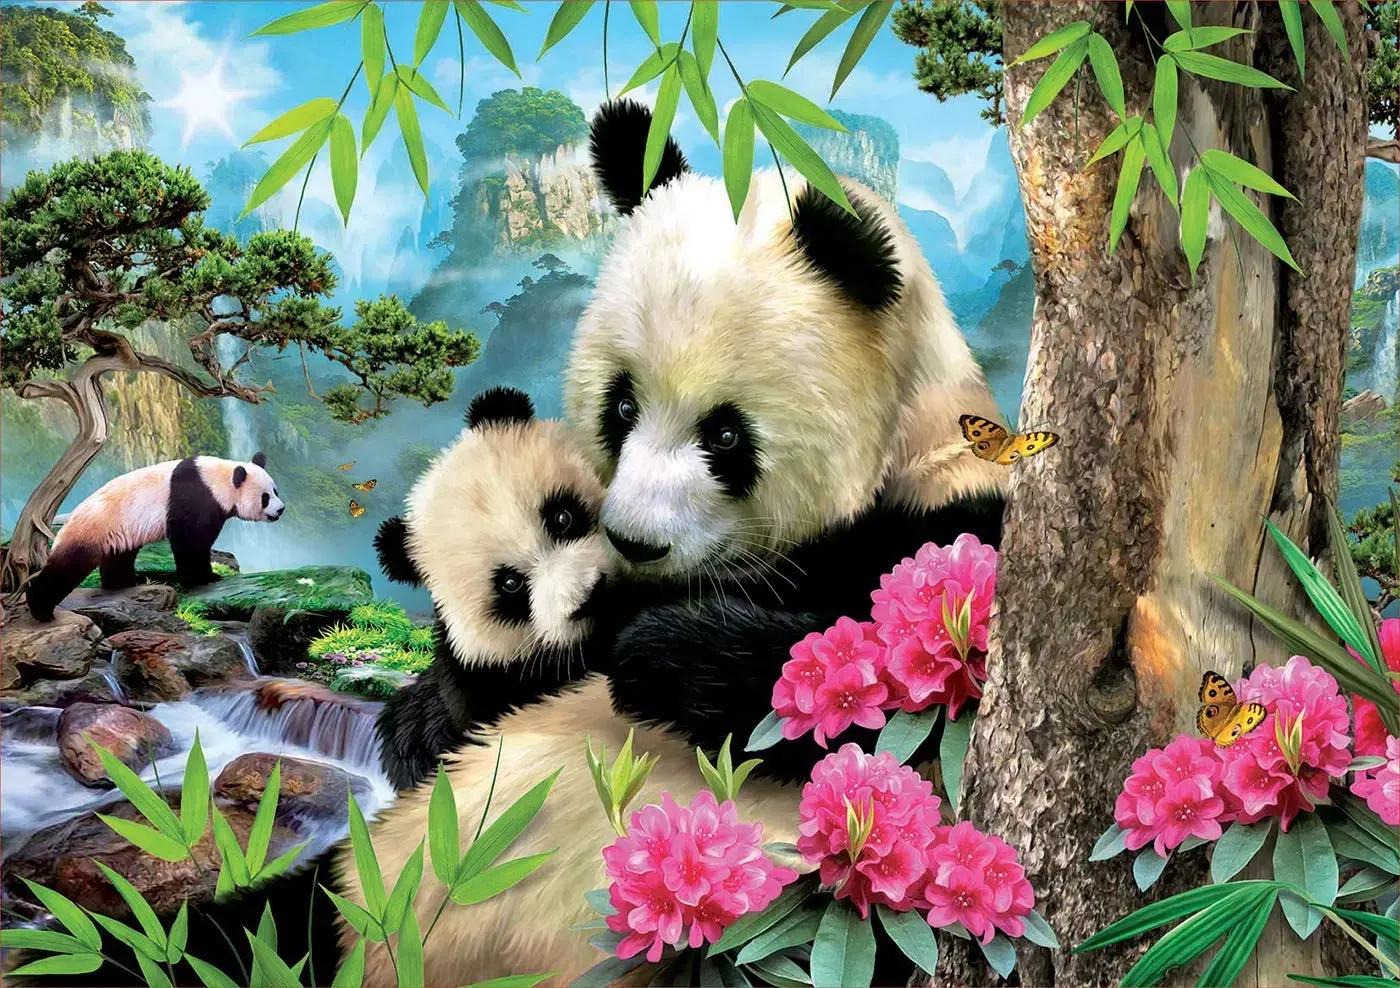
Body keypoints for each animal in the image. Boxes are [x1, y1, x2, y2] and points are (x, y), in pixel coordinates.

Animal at [25, 453, 284, 622]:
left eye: (275, 491)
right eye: (265, 497)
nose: (281, 509)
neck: (217, 479)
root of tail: (69, 520)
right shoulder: (194, 498)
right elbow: (190, 541)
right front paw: (206, 578)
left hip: (118, 532)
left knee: (119, 557)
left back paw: (123, 584)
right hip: (93, 528)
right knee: (68, 567)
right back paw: (41, 609)